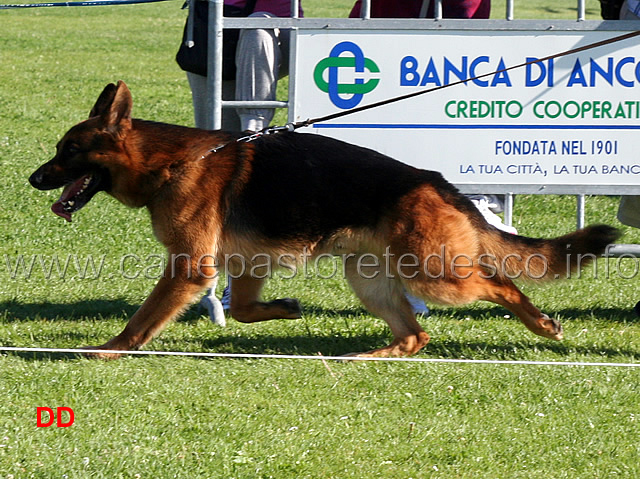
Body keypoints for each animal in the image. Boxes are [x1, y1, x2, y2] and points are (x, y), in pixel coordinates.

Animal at [28, 83, 620, 360]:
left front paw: (108, 350)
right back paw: (369, 356)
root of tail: (436, 181)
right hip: (371, 279)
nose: (33, 179)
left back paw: (541, 324)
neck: (171, 162)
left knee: (499, 283)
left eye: (69, 151)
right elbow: (242, 310)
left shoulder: (190, 268)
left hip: (435, 276)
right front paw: (287, 309)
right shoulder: (246, 264)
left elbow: (142, 321)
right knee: (417, 333)